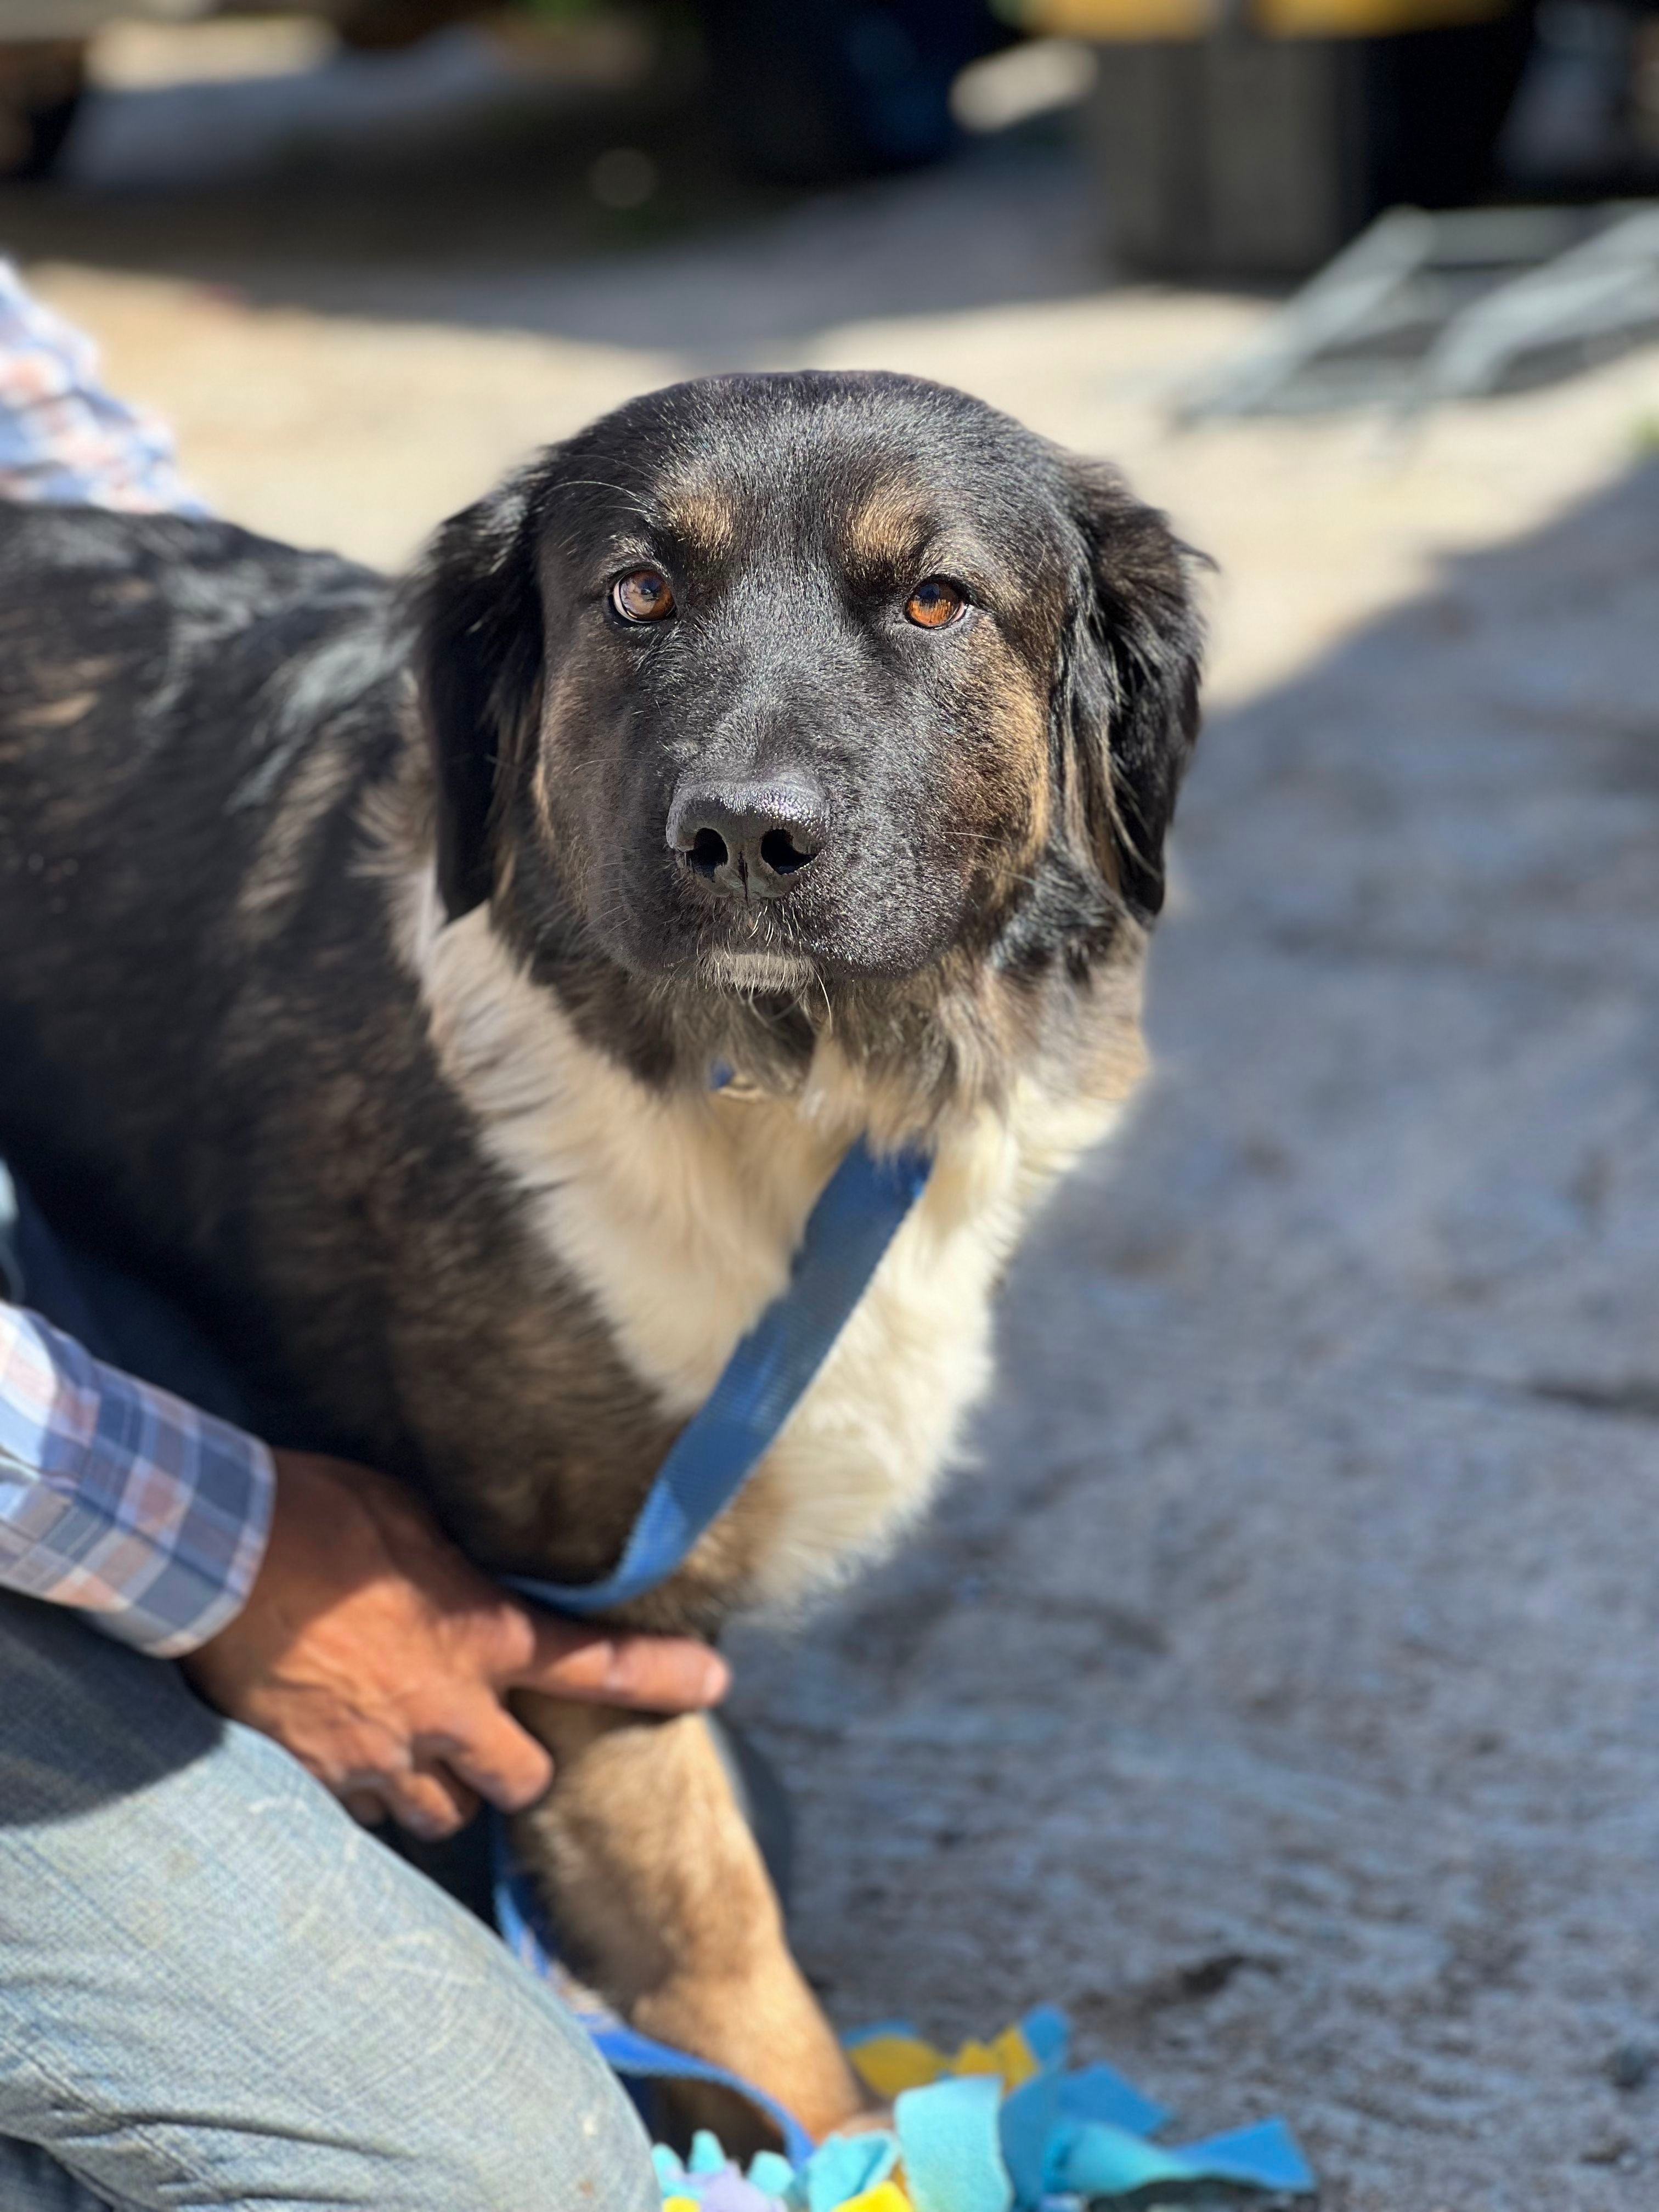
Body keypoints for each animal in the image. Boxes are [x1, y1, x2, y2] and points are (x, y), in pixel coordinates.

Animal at [0, 367, 1203, 2141]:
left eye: (935, 599)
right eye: (637, 596)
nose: (746, 836)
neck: (793, 1076)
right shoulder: (581, 1593)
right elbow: (721, 1936)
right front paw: (843, 2149)